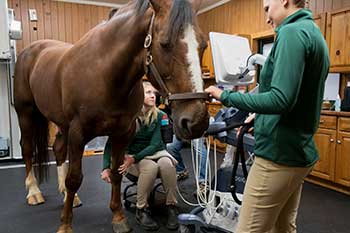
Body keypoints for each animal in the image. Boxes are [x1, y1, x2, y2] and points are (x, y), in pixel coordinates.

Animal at [13, 0, 209, 233]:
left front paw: (118, 217)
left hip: (61, 123)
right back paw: (34, 192)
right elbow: (74, 178)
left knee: (59, 149)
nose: (196, 121)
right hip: (26, 113)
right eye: (164, 44)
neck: (104, 74)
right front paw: (65, 225)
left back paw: (68, 196)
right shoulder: (78, 133)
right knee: (27, 149)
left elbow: (116, 172)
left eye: (203, 46)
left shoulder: (122, 132)